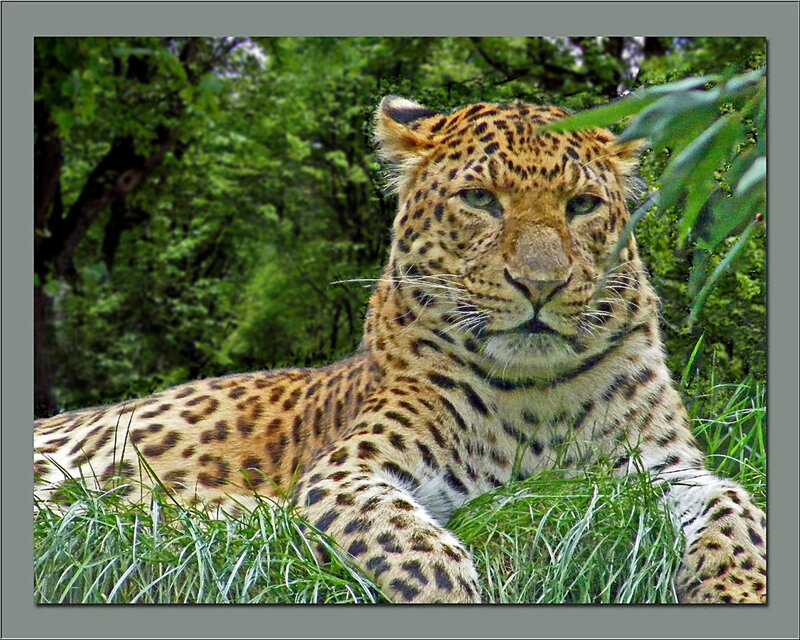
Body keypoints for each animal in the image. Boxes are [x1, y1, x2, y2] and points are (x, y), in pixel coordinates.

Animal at [34, 95, 766, 604]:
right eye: (480, 199)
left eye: (582, 205)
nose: (540, 283)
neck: (540, 394)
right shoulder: (348, 472)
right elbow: (416, 552)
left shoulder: (666, 470)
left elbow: (738, 508)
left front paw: (736, 591)